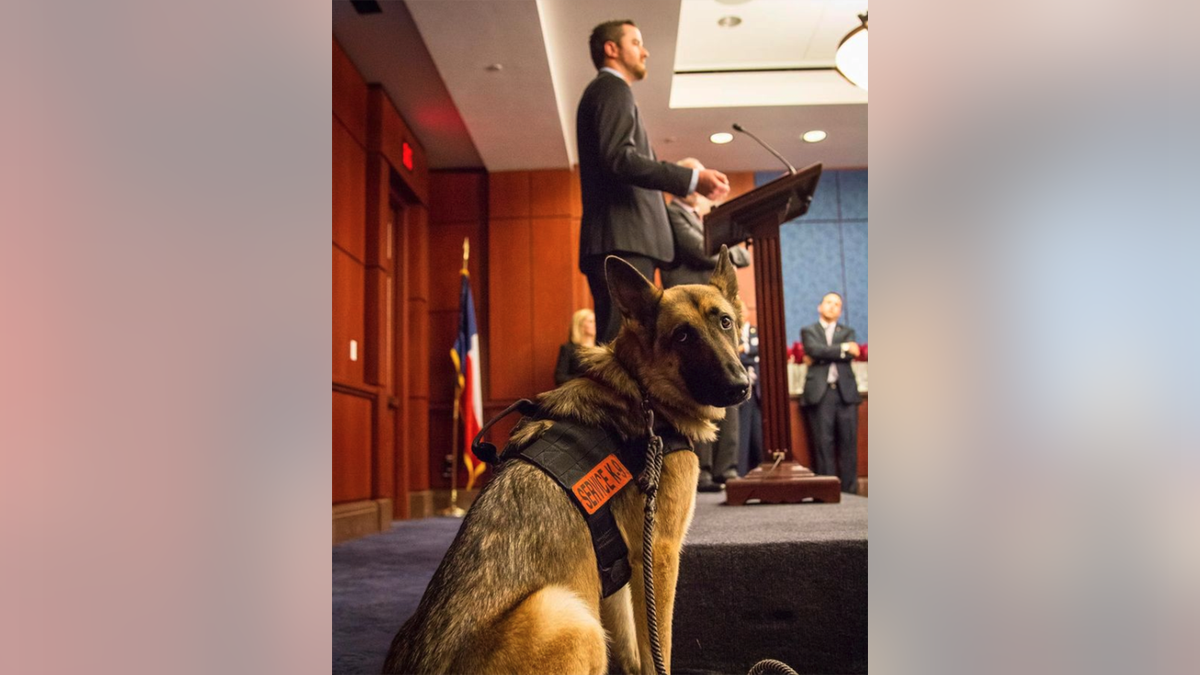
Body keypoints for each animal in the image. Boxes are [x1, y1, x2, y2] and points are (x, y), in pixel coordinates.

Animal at [384, 247, 744, 672]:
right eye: (683, 335)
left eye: (724, 322)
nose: (741, 386)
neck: (641, 390)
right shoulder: (658, 553)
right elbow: (657, 651)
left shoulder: (617, 573)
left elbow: (631, 648)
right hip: (569, 613)